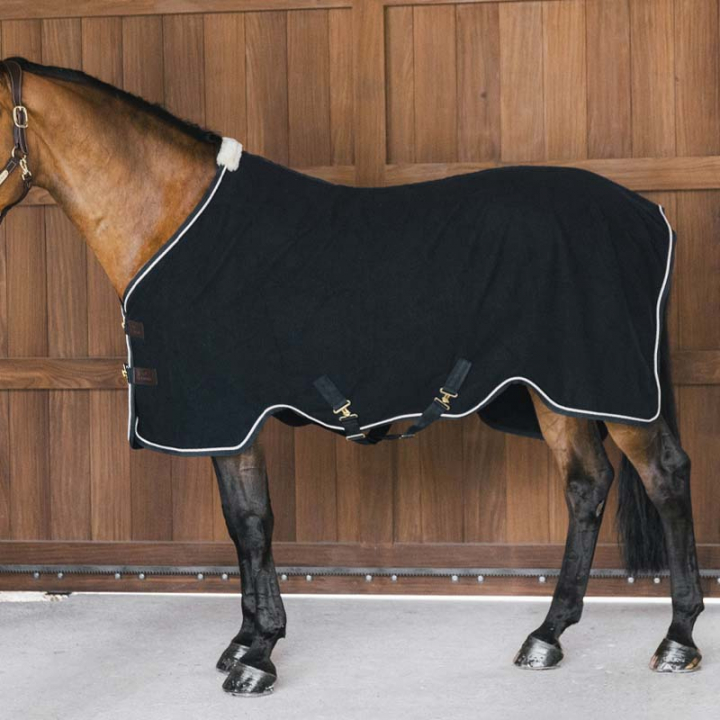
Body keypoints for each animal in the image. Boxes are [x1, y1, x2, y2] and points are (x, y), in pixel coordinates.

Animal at [0, 58, 704, 697]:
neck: (176, 220)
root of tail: (646, 213)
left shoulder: (231, 413)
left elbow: (252, 522)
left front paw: (258, 656)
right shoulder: (229, 423)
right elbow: (241, 522)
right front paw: (245, 642)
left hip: (611, 392)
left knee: (665, 476)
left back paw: (678, 640)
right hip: (558, 394)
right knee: (587, 486)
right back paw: (547, 636)